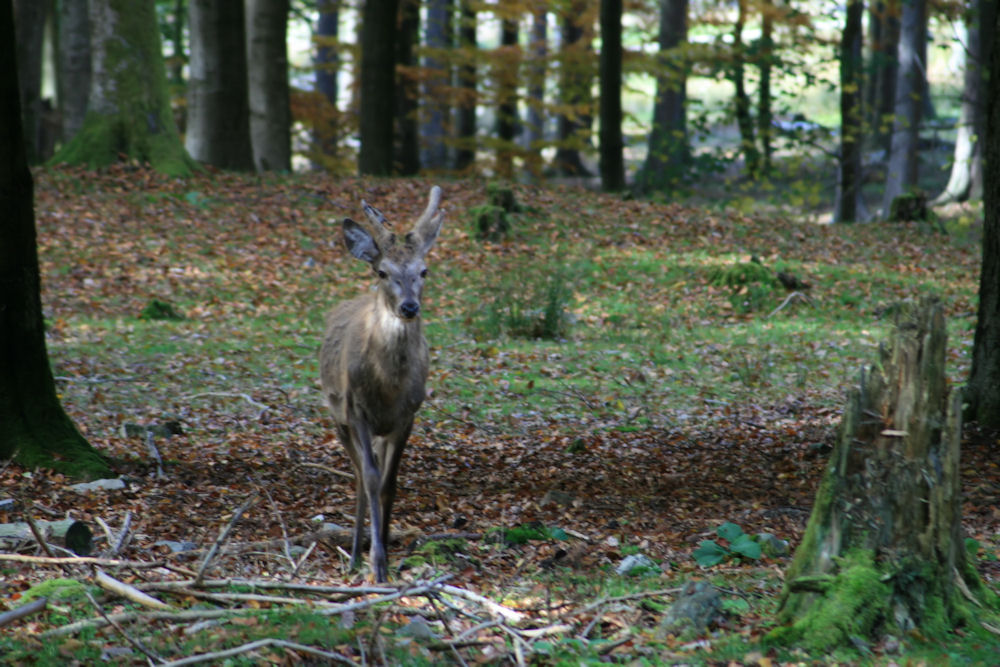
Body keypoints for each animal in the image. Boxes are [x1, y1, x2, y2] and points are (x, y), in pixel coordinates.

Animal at [320, 185, 446, 580]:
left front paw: (388, 553)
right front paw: (376, 562)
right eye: (382, 272)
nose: (409, 307)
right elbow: (373, 479)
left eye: (424, 270)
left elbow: (390, 482)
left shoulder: (408, 415)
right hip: (337, 416)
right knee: (359, 475)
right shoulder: (356, 409)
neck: (388, 388)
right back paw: (355, 555)